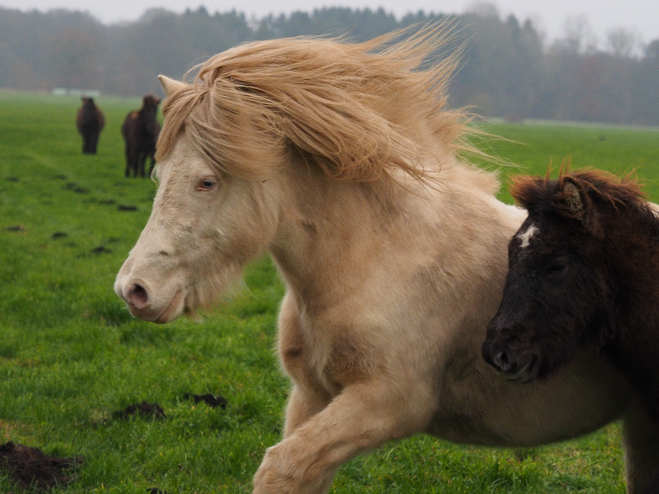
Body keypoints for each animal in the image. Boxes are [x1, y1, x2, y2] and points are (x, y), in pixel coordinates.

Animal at [114, 27, 659, 494]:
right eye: (158, 172)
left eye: (207, 181)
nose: (134, 290)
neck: (373, 261)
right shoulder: (312, 396)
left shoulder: (389, 403)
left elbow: (280, 469)